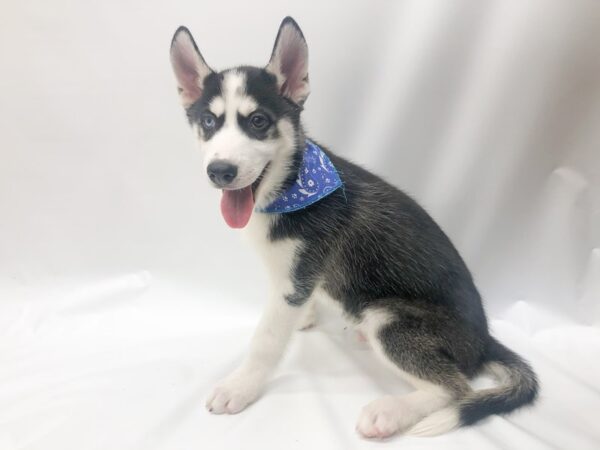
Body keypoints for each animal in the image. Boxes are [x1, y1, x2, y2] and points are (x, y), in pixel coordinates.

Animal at [169, 16, 540, 436]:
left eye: (258, 122)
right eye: (209, 122)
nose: (220, 171)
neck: (290, 186)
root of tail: (483, 341)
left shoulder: (296, 277)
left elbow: (266, 339)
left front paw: (241, 386)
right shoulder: (298, 279)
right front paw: (306, 318)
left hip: (390, 320)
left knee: (454, 388)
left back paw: (390, 412)